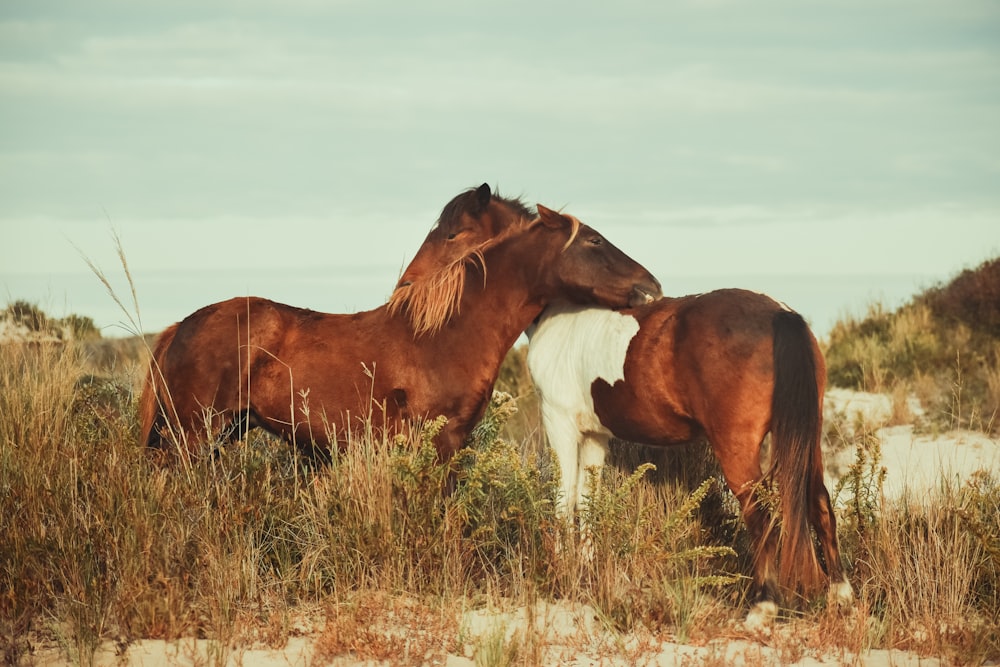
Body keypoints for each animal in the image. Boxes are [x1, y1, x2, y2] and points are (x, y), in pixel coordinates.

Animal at [137, 185, 660, 462]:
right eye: (593, 241)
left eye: (453, 234)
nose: (650, 285)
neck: (447, 333)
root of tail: (179, 327)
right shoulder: (440, 441)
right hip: (192, 437)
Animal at [528, 294, 856, 628]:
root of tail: (780, 314)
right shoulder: (594, 435)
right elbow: (587, 502)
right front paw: (584, 571)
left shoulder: (560, 422)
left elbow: (564, 502)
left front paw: (563, 572)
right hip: (807, 438)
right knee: (820, 504)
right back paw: (840, 593)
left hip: (739, 451)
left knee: (760, 517)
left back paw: (764, 604)